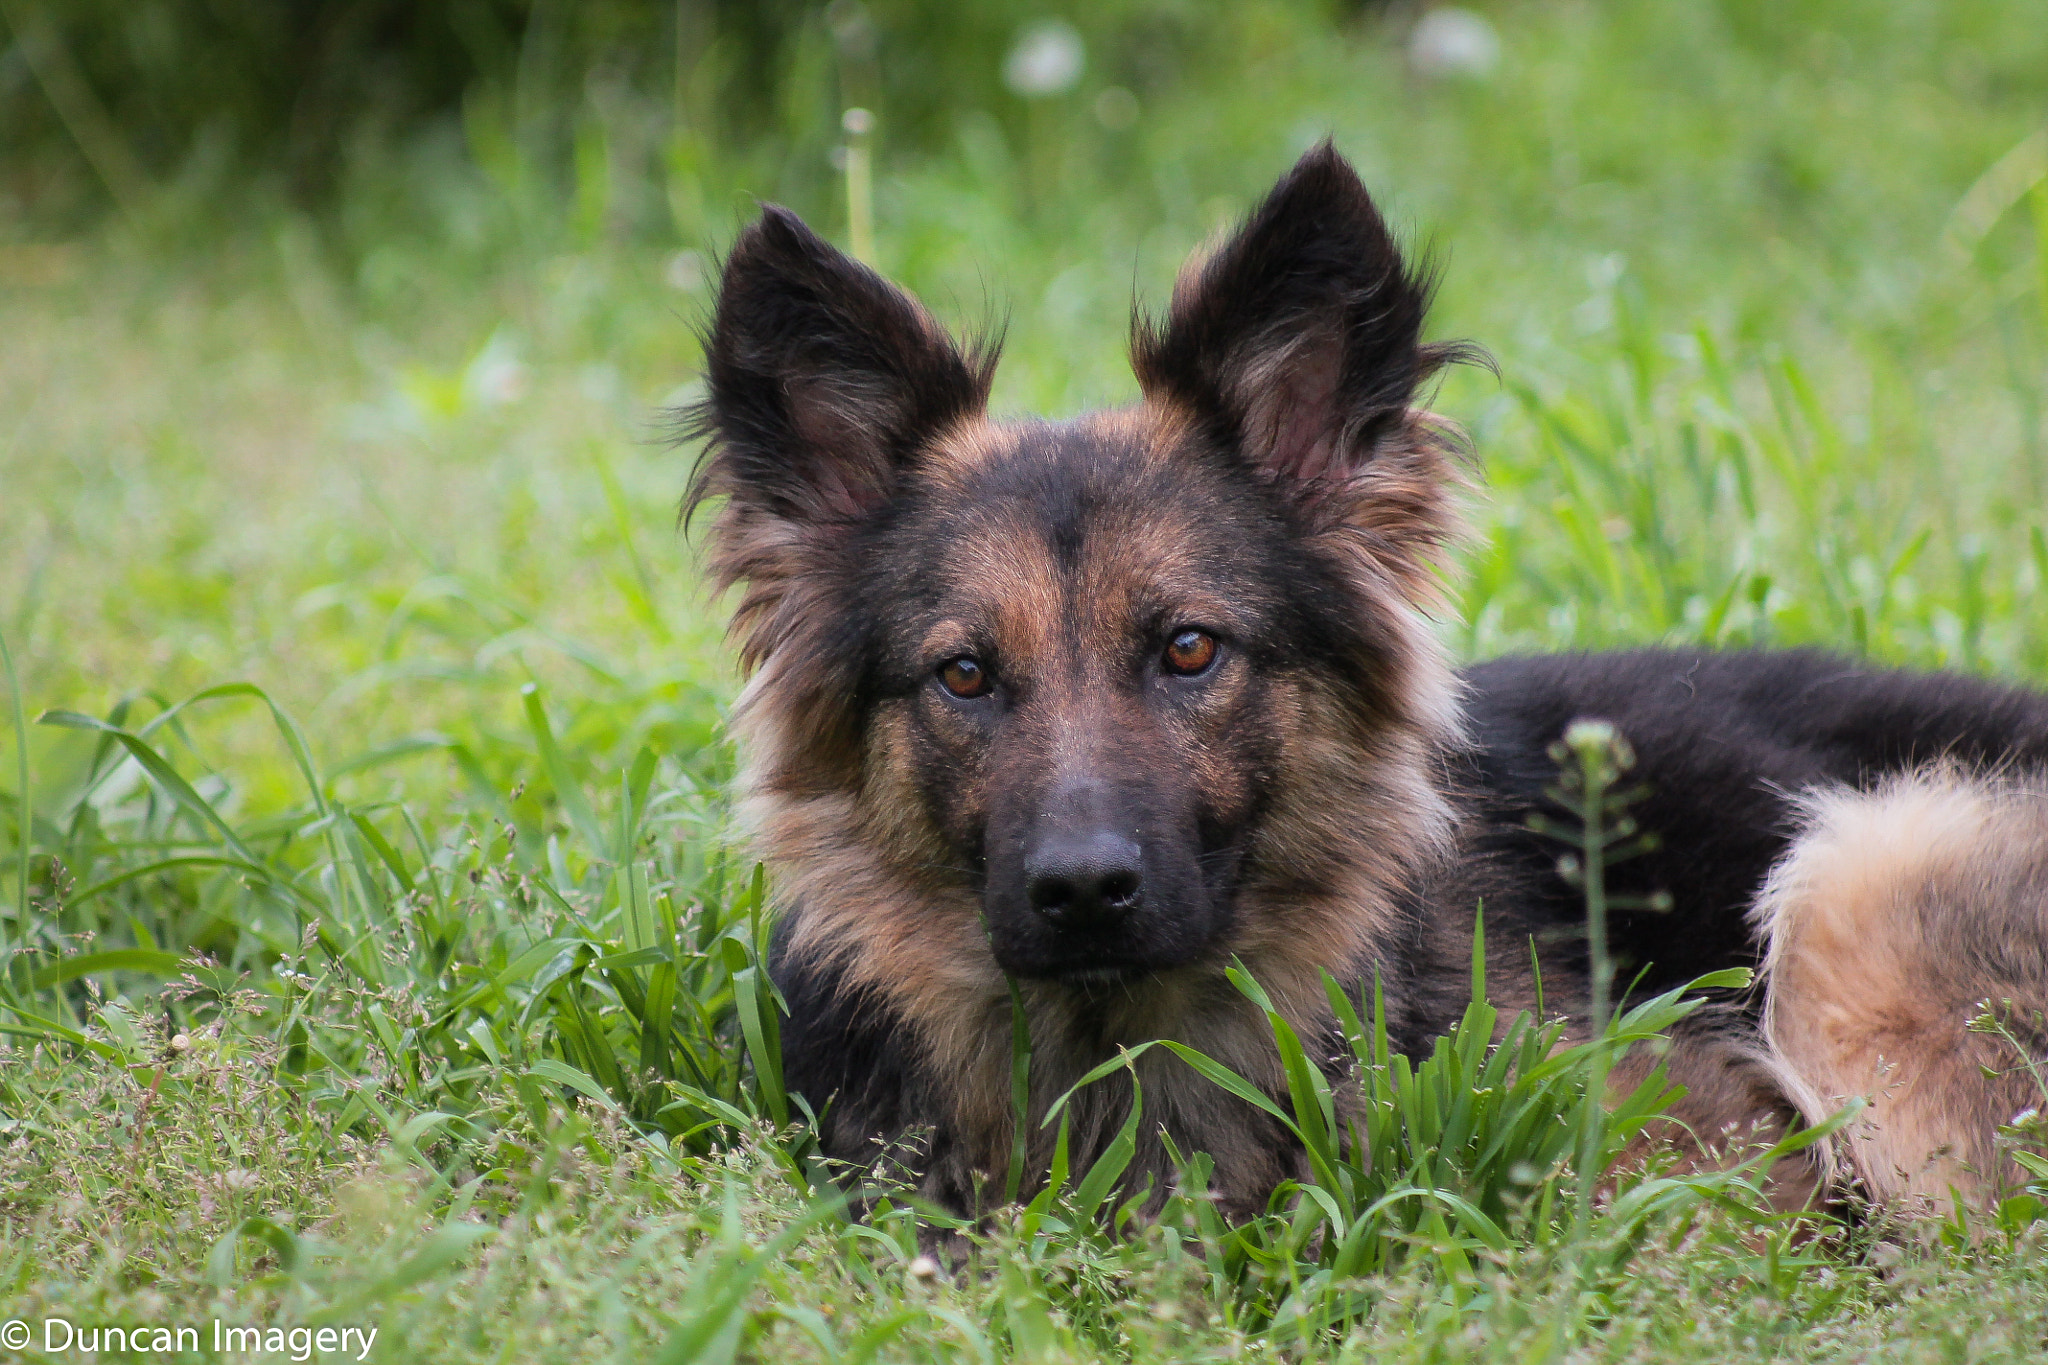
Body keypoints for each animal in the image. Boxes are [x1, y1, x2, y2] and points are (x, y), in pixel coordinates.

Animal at [684, 144, 2048, 1219]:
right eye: (963, 673)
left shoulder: (1702, 1131)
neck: (1123, 1041)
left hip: (1858, 890)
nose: (1080, 892)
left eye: (1189, 649)